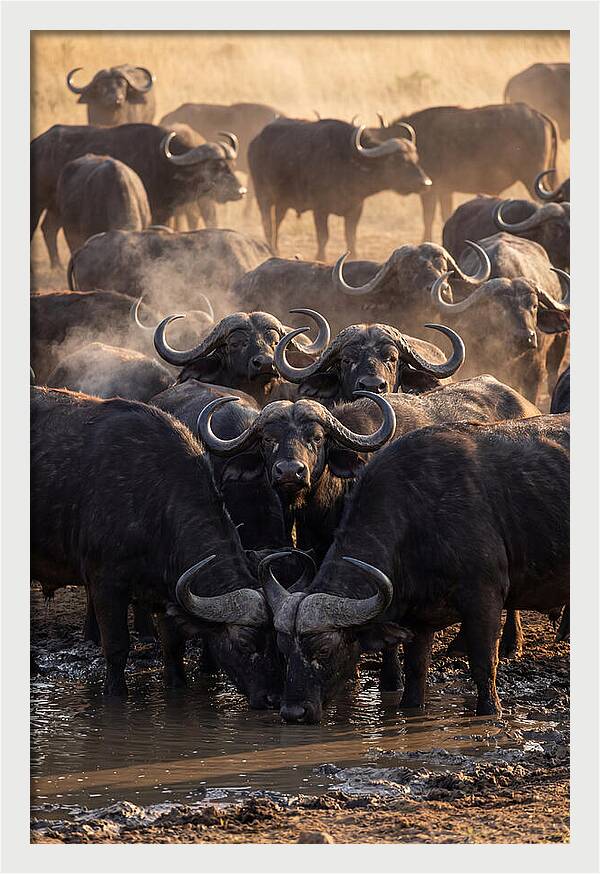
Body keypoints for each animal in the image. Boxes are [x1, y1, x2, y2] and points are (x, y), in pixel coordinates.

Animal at [248, 118, 431, 260]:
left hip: (283, 202)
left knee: (277, 221)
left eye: (415, 158)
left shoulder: (356, 208)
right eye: (397, 160)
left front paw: (354, 256)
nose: (425, 183)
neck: (348, 162)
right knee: (267, 223)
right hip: (263, 196)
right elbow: (323, 236)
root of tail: (255, 142)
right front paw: (320, 257)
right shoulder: (320, 209)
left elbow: (351, 236)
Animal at [261, 414, 569, 722]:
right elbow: (415, 672)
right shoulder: (418, 620)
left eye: (324, 649)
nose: (293, 712)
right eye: (283, 648)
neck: (419, 516)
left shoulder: (484, 598)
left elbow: (483, 665)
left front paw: (490, 711)